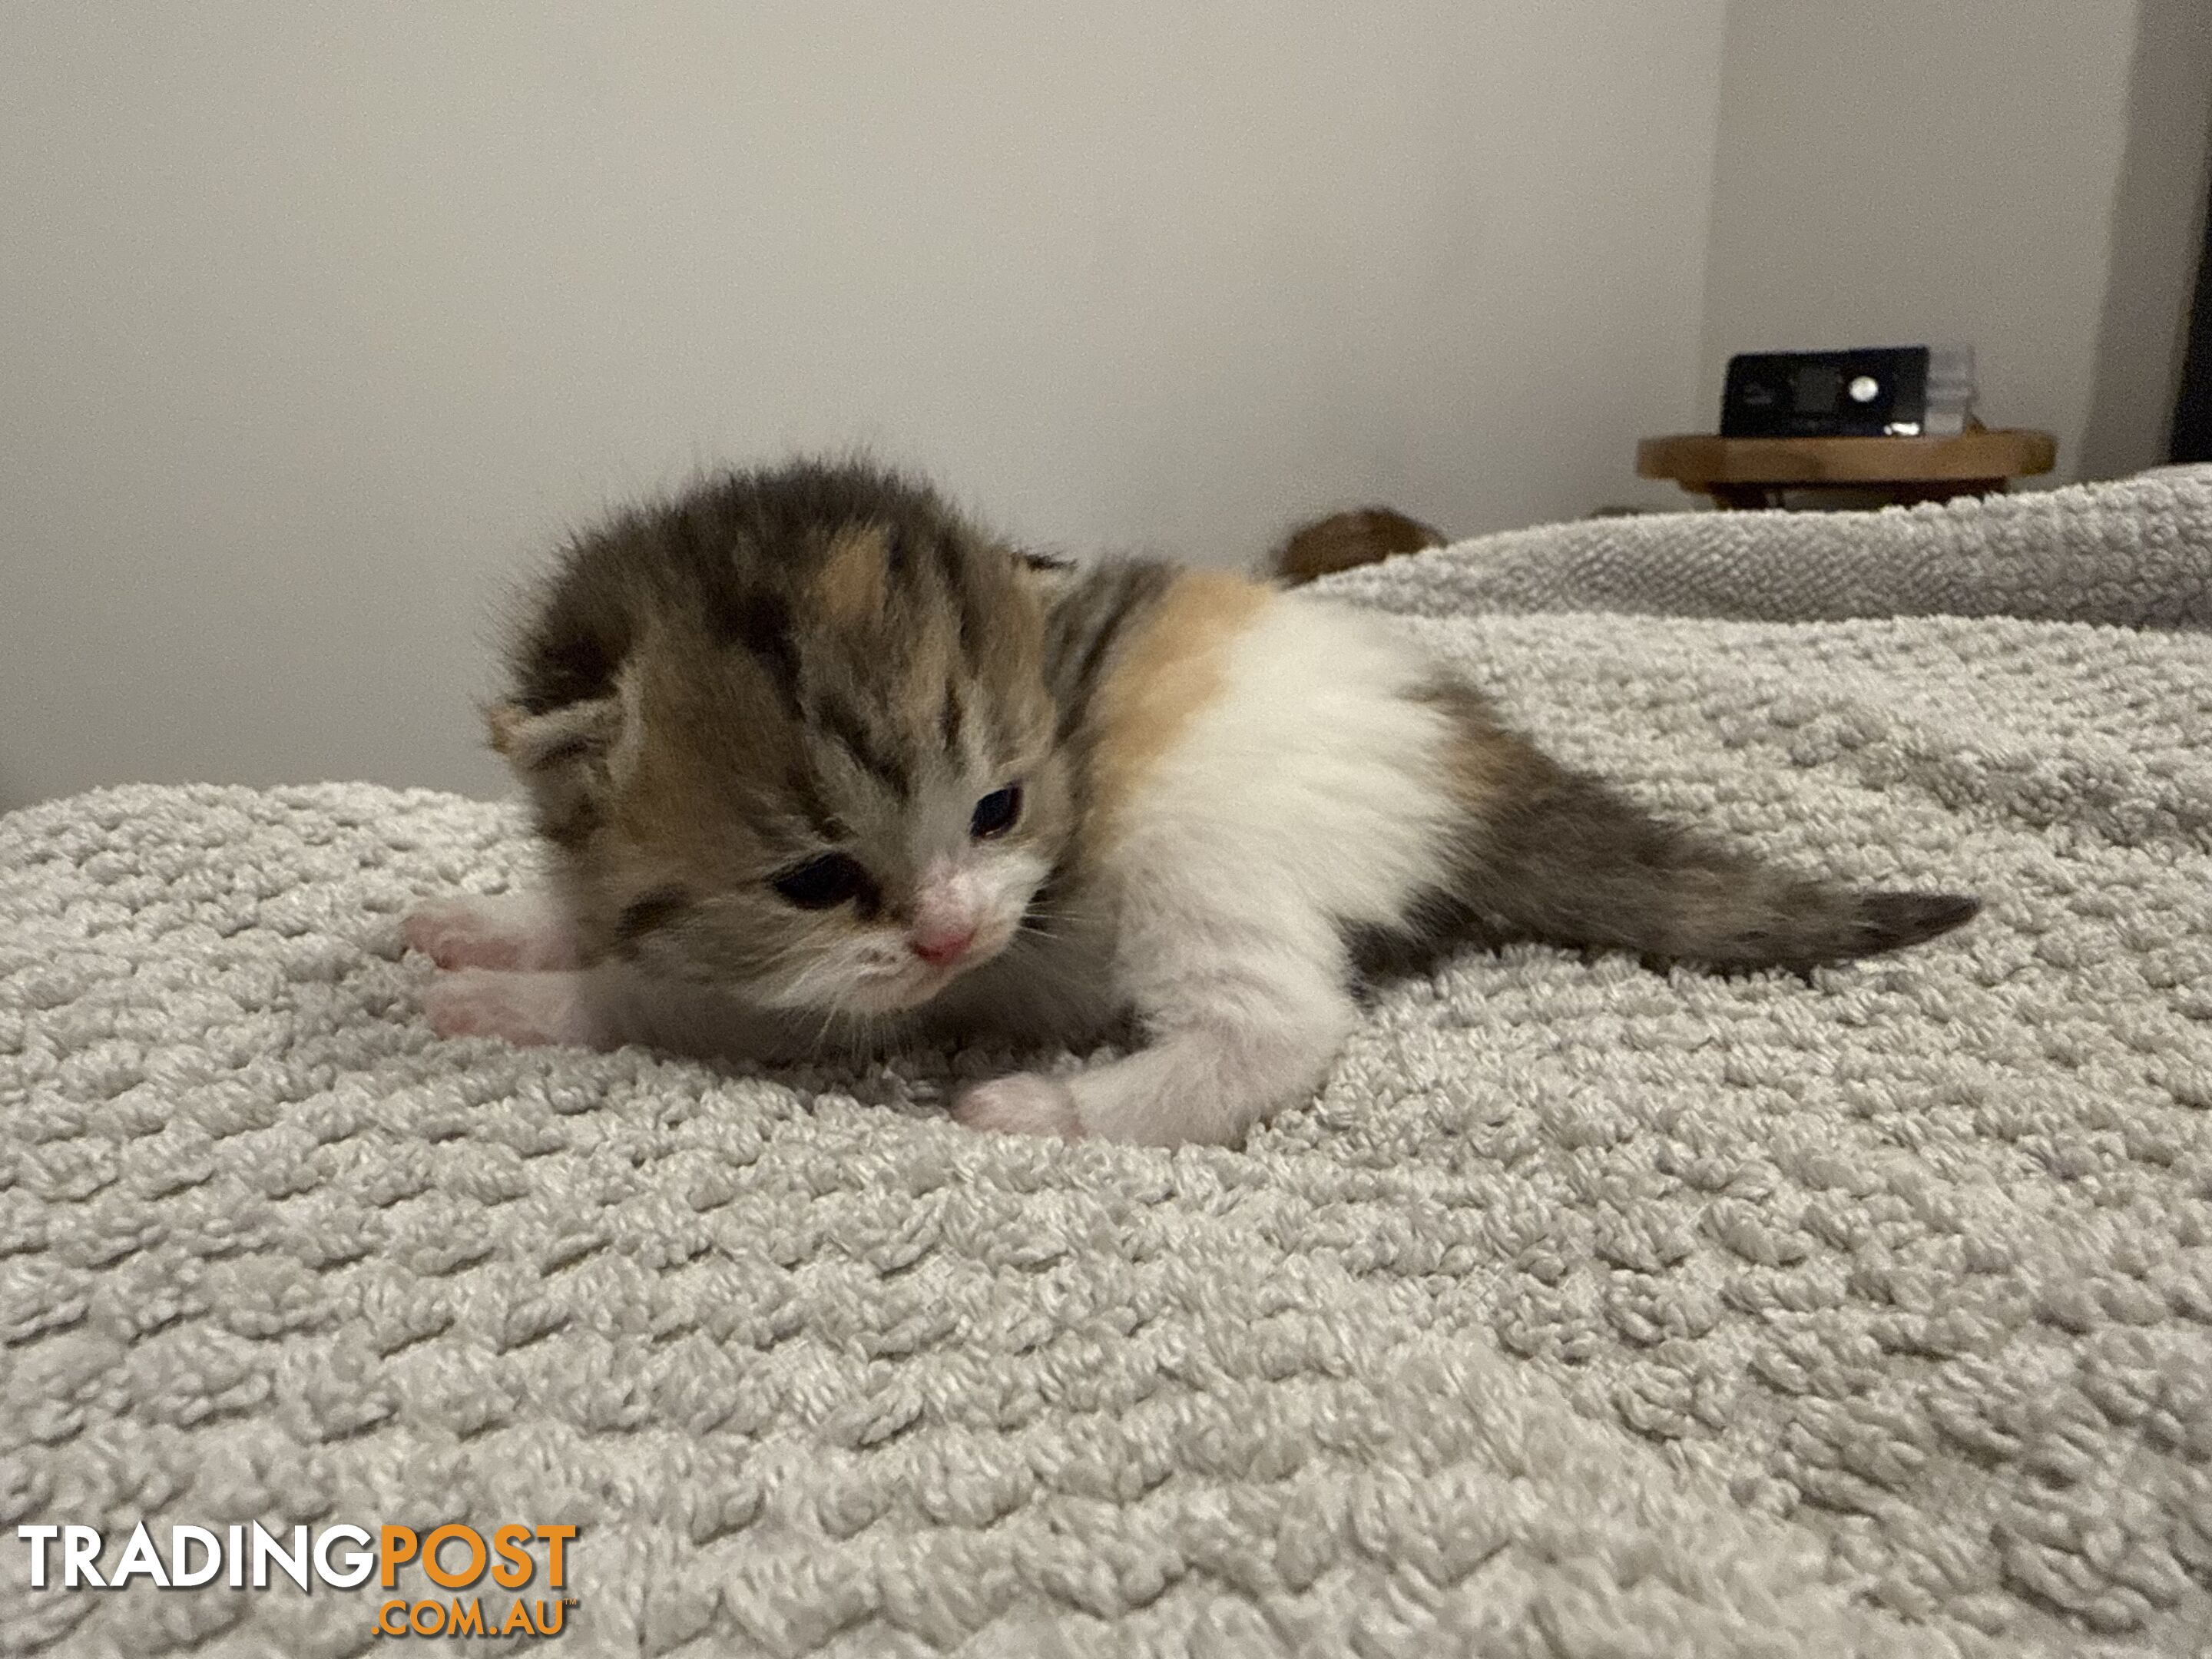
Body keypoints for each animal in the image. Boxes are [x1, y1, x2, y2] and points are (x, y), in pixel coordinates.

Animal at [406, 462, 1982, 1150]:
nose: (951, 935)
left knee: (1279, 1030)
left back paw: (1046, 1105)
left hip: (1200, 846)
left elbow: (666, 1003)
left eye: (1000, 812)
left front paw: (522, 1005)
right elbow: (586, 918)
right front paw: (491, 923)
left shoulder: (855, 996)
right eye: (813, 878)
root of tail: (1459, 749)